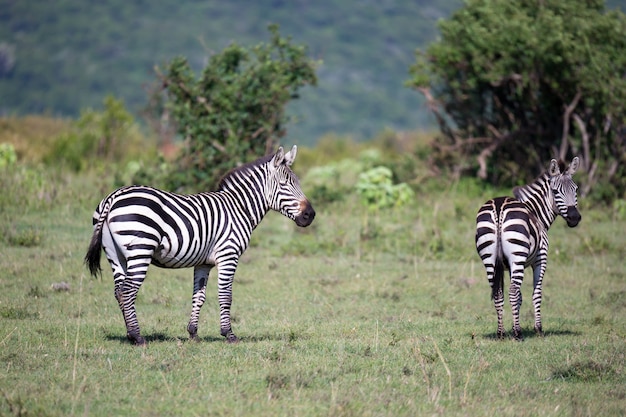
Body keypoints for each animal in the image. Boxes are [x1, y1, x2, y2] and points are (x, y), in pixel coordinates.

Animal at [85, 146, 314, 344]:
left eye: (298, 182)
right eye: (284, 185)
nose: (310, 215)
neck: (239, 208)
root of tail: (113, 197)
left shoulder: (204, 262)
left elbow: (199, 296)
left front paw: (193, 333)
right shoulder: (228, 255)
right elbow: (226, 296)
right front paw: (229, 334)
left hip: (116, 254)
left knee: (119, 291)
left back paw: (129, 335)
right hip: (141, 249)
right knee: (128, 290)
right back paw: (137, 337)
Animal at [472, 158, 580, 340]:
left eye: (576, 190)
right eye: (556, 191)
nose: (574, 218)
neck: (537, 213)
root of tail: (498, 207)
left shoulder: (508, 266)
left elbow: (519, 297)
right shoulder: (541, 259)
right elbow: (536, 294)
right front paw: (538, 329)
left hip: (489, 258)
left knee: (498, 292)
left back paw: (501, 333)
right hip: (518, 255)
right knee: (512, 291)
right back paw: (518, 334)